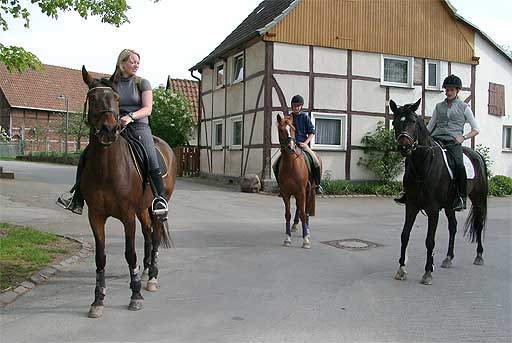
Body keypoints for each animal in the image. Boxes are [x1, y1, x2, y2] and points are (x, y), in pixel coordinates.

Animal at [80, 67, 176, 320]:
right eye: (93, 98)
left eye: (115, 98)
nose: (109, 130)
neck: (106, 169)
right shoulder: (95, 216)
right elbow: (100, 257)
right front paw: (98, 300)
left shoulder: (127, 215)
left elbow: (129, 253)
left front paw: (135, 296)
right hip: (143, 209)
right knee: (148, 233)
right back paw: (145, 272)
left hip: (156, 206)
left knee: (155, 235)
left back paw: (151, 277)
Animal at [276, 115, 320, 250]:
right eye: (281, 130)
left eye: (293, 129)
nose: (291, 147)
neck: (291, 165)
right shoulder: (286, 193)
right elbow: (288, 214)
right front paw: (287, 239)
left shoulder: (302, 191)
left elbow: (303, 214)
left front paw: (305, 240)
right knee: (299, 209)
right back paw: (295, 226)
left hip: (309, 191)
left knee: (306, 211)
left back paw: (307, 231)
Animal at [390, 101, 486, 286]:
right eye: (394, 122)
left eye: (413, 121)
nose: (404, 147)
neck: (423, 165)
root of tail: (476, 154)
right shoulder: (411, 206)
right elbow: (405, 235)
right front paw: (401, 269)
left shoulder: (433, 209)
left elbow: (430, 240)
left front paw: (428, 272)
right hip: (449, 206)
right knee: (453, 227)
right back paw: (448, 258)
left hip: (478, 199)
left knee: (478, 224)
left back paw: (479, 256)